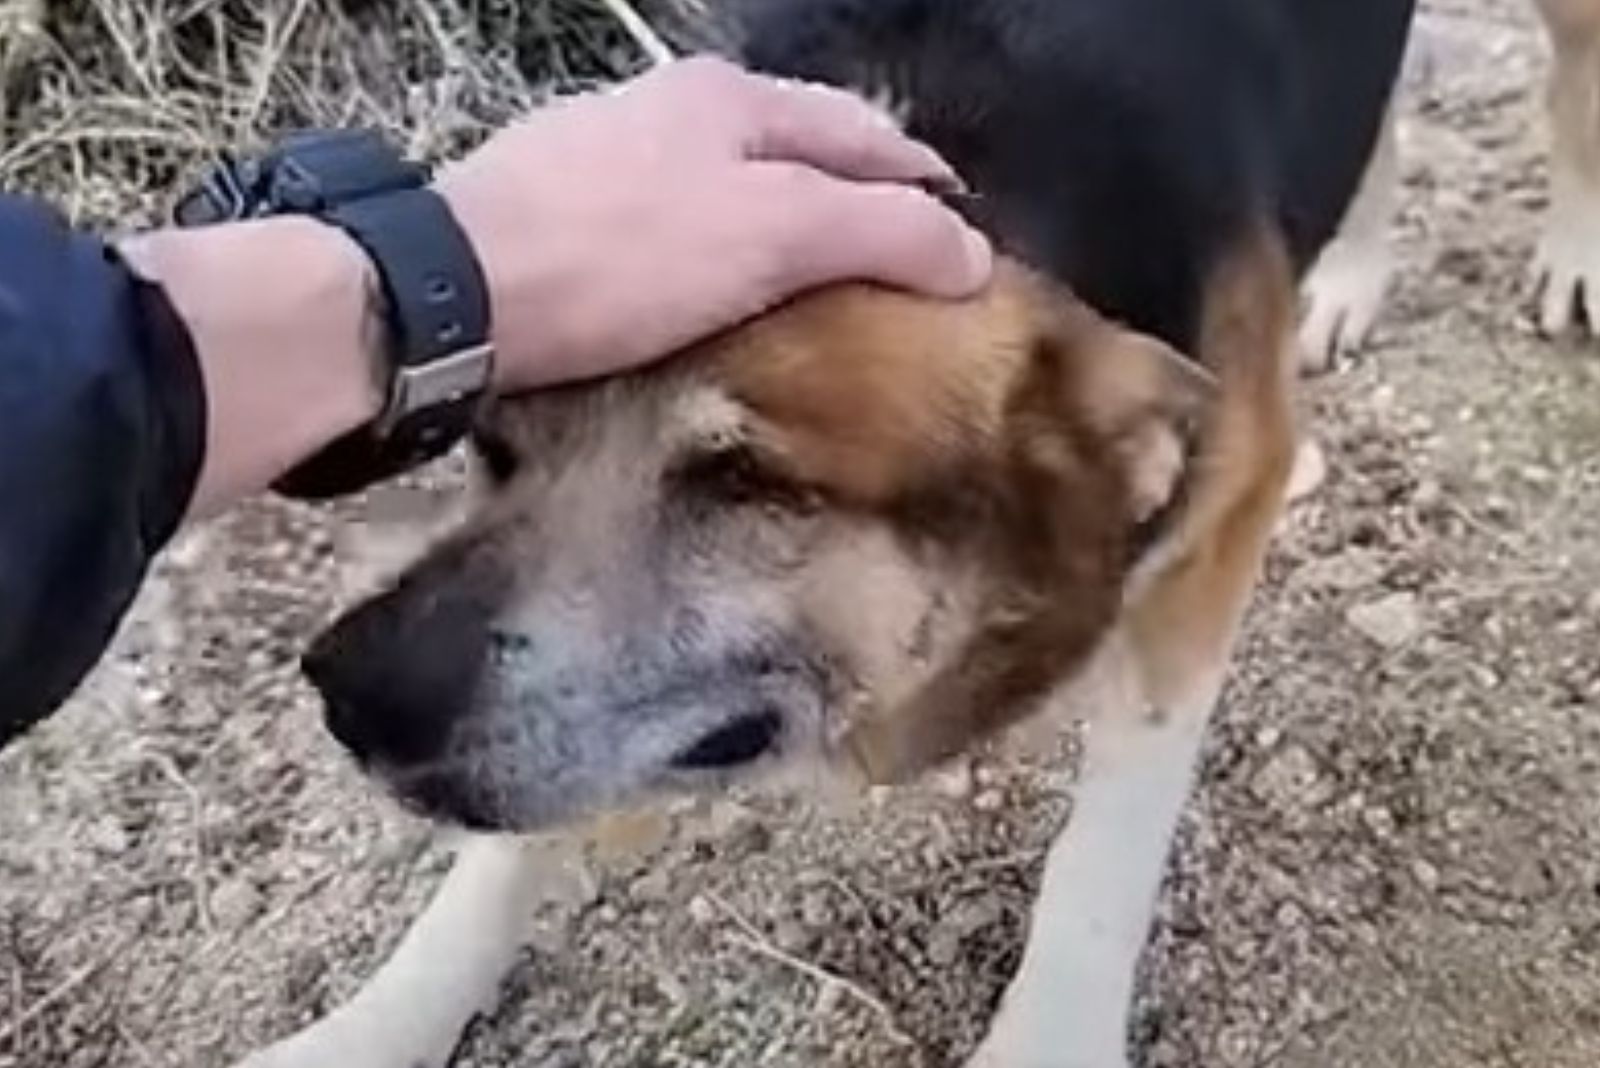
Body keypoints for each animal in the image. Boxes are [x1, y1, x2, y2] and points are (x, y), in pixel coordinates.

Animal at [240, 2, 1427, 1068]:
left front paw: (1047, 1038)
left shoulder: (1211, 532)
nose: (348, 689)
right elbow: (504, 846)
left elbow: (1105, 852)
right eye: (491, 443)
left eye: (744, 479)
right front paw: (379, 1024)